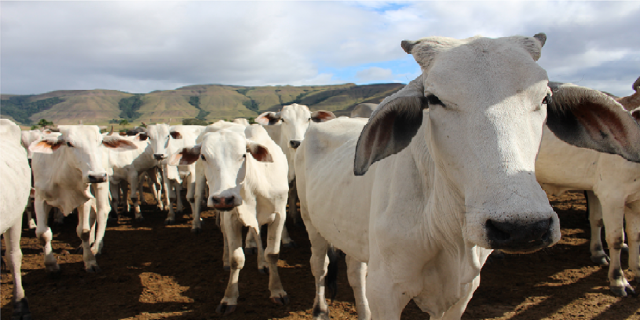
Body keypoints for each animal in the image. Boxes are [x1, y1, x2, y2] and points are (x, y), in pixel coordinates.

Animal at [30, 124, 138, 272]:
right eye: (69, 143)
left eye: (100, 142)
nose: (96, 176)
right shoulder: (40, 198)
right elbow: (42, 233)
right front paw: (50, 264)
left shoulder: (83, 198)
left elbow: (83, 231)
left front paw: (90, 261)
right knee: (93, 213)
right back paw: (85, 245)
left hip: (102, 182)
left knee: (102, 210)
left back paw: (96, 246)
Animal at [170, 125, 290, 316]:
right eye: (203, 156)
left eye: (243, 155)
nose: (223, 199)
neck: (252, 187)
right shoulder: (231, 218)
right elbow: (237, 259)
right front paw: (229, 298)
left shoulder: (278, 215)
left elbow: (272, 254)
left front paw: (277, 291)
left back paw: (262, 264)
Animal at [296, 35, 640, 320]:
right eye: (433, 99)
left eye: (544, 98)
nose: (523, 228)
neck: (444, 230)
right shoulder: (387, 292)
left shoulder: (463, 292)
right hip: (311, 222)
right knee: (319, 265)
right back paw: (320, 309)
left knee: (356, 273)